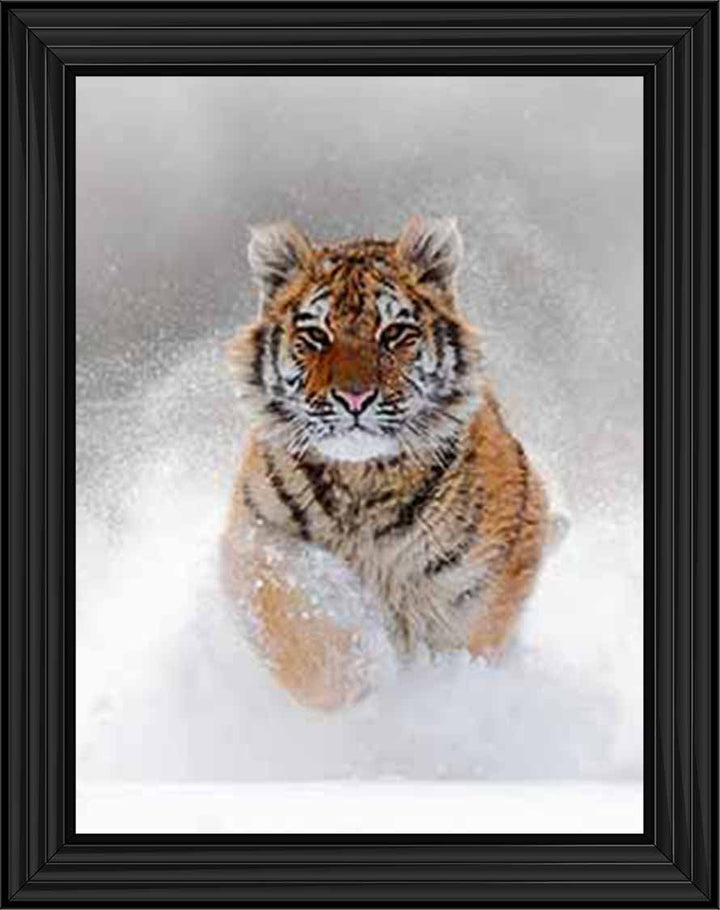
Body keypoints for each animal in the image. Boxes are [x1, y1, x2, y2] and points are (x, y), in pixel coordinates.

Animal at [222, 216, 554, 710]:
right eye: (316, 336)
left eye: (394, 333)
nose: (354, 397)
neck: (361, 480)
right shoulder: (255, 539)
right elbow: (299, 619)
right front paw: (359, 683)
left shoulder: (486, 577)